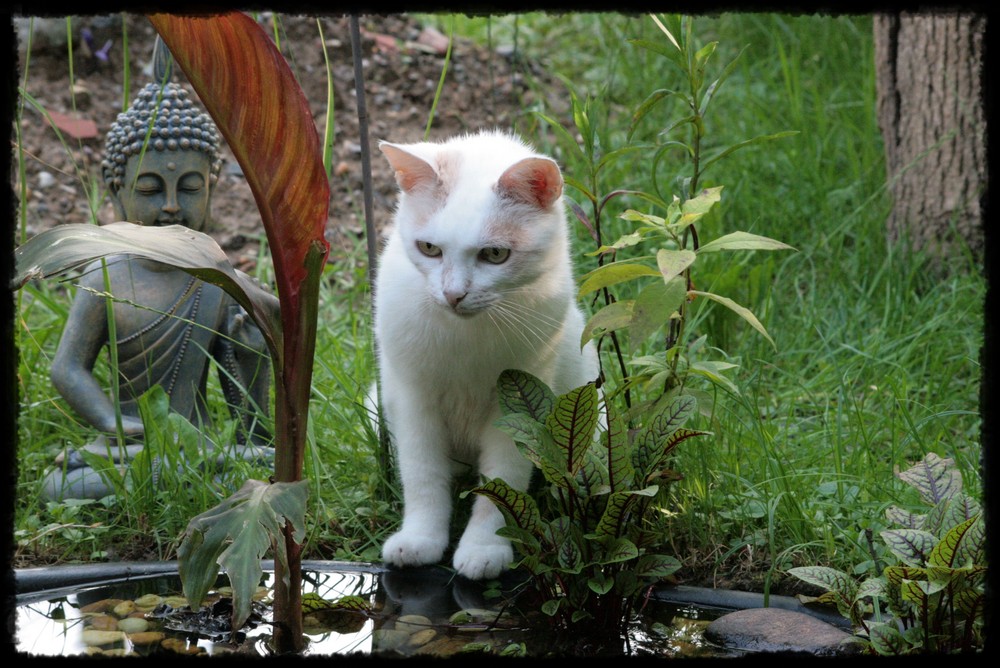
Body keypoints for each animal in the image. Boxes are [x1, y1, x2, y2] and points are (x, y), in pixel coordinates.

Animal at [372, 129, 596, 580]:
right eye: (429, 248)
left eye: (495, 254)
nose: (453, 294)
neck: (465, 335)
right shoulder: (411, 397)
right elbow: (422, 474)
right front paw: (420, 538)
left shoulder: (516, 403)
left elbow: (504, 480)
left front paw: (485, 547)